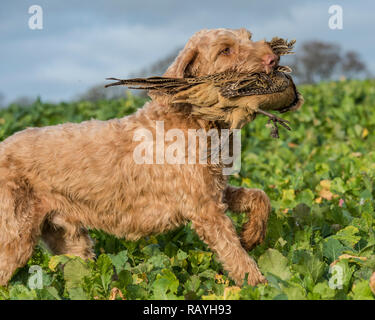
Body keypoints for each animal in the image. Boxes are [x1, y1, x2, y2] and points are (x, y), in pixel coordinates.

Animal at [0, 28, 276, 286]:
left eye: (249, 37)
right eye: (225, 50)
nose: (273, 59)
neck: (196, 120)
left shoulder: (214, 192)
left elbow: (259, 196)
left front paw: (252, 235)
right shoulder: (205, 209)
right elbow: (236, 256)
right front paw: (261, 287)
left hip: (69, 239)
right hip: (15, 236)